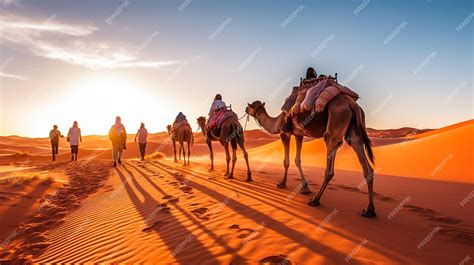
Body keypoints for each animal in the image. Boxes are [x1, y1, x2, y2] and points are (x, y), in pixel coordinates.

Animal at [246, 95, 376, 217]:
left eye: (250, 105)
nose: (245, 109)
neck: (277, 122)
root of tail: (352, 104)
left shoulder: (285, 133)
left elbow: (286, 161)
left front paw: (282, 183)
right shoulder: (299, 134)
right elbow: (297, 160)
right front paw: (305, 188)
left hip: (336, 121)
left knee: (329, 163)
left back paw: (315, 200)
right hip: (354, 131)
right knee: (364, 161)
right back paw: (369, 210)